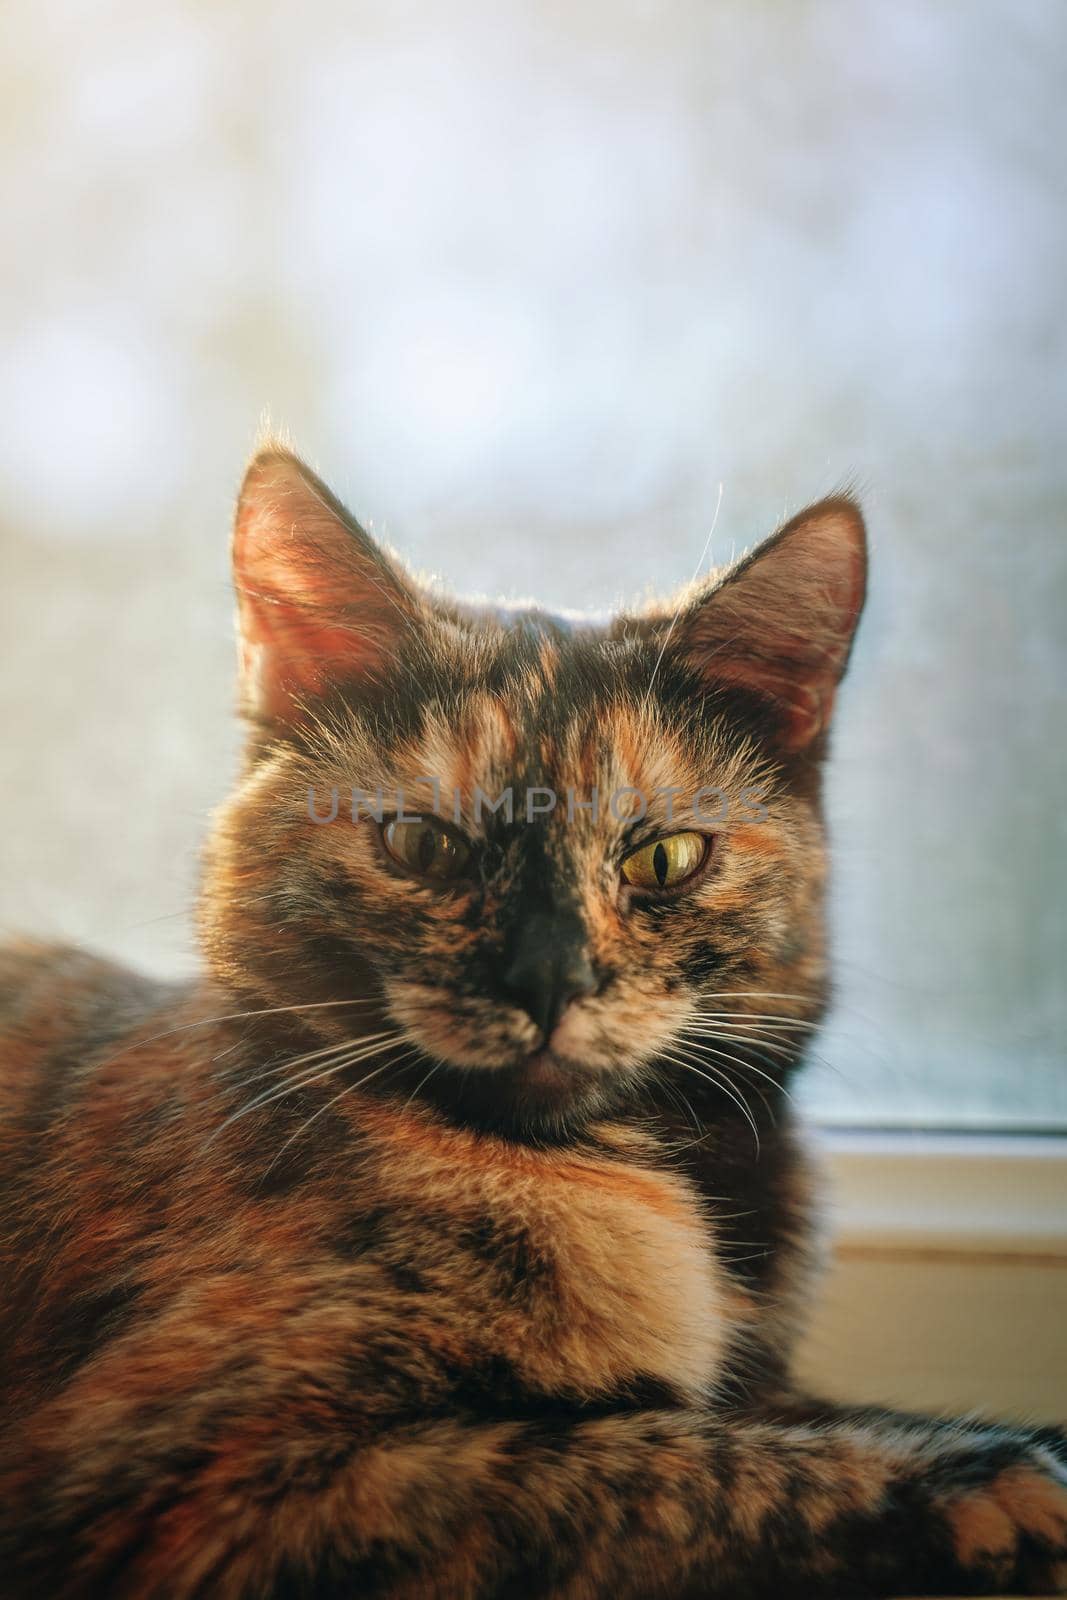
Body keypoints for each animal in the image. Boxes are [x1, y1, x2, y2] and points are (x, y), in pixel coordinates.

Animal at [2, 441, 1067, 1600]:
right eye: (424, 846)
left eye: (662, 858)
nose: (548, 978)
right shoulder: (199, 1480)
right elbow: (650, 1455)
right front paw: (991, 1476)